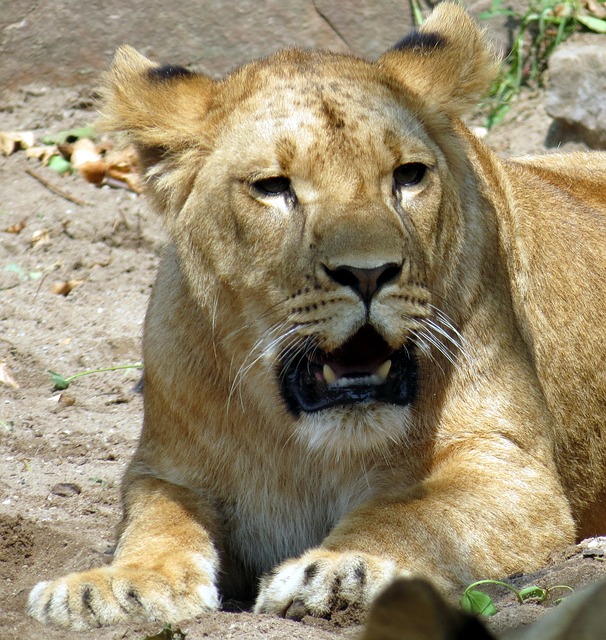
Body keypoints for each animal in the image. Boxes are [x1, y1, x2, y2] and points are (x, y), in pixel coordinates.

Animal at [26, 1, 606, 632]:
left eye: (408, 175)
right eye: (273, 187)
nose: (370, 273)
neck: (308, 448)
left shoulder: (509, 466)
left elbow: (413, 512)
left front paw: (341, 570)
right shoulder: (165, 471)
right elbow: (157, 523)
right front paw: (115, 587)